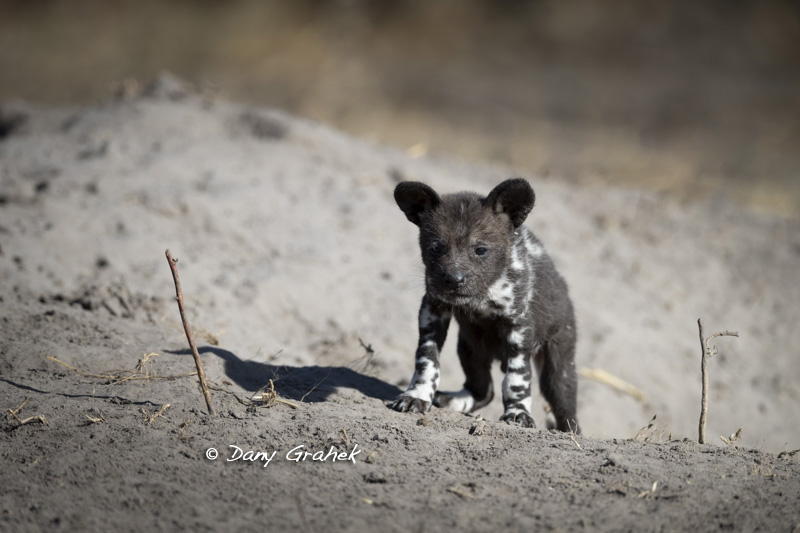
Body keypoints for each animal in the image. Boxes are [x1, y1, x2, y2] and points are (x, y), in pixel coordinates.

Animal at [390, 179, 580, 432]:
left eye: (480, 250)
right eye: (436, 248)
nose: (454, 279)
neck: (480, 298)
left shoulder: (518, 327)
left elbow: (517, 379)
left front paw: (518, 413)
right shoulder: (432, 310)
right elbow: (427, 360)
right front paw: (418, 396)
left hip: (559, 365)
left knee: (565, 407)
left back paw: (570, 432)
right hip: (470, 347)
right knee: (483, 389)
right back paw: (453, 401)